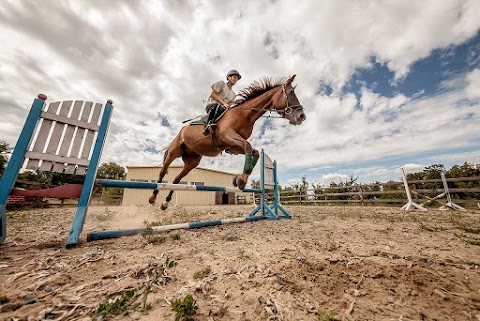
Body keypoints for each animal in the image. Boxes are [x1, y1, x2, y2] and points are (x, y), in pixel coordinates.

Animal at [149, 75, 308, 210]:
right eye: (291, 92)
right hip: (174, 151)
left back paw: (165, 203)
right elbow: (249, 146)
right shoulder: (228, 136)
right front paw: (241, 180)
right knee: (162, 172)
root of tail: (181, 131)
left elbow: (254, 152)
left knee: (177, 179)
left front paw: (239, 179)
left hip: (191, 161)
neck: (244, 114)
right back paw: (152, 198)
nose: (302, 116)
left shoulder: (232, 146)